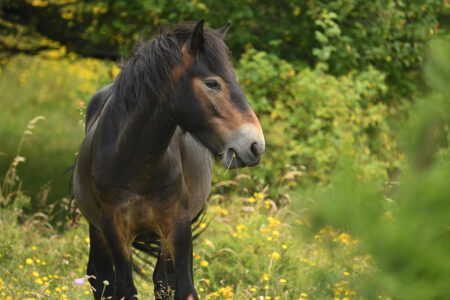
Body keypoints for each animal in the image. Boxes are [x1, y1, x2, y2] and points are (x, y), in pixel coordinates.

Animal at [72, 19, 266, 298]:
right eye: (212, 83)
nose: (256, 145)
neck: (133, 159)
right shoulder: (114, 229)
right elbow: (124, 288)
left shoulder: (178, 226)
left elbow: (183, 288)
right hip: (97, 232)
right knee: (101, 279)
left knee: (161, 280)